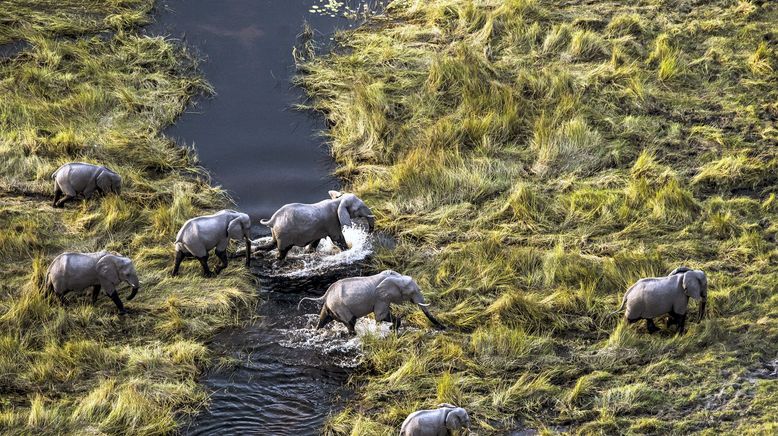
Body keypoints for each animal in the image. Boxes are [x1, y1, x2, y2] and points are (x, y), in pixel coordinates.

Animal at [296, 270, 442, 338]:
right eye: (412, 292)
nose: (443, 327)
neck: (397, 277)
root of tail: (326, 294)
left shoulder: (384, 298)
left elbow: (385, 316)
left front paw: (391, 329)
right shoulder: (380, 298)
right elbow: (381, 316)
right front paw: (382, 330)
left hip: (331, 306)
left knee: (323, 319)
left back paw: (316, 331)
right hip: (340, 306)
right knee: (350, 322)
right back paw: (352, 336)